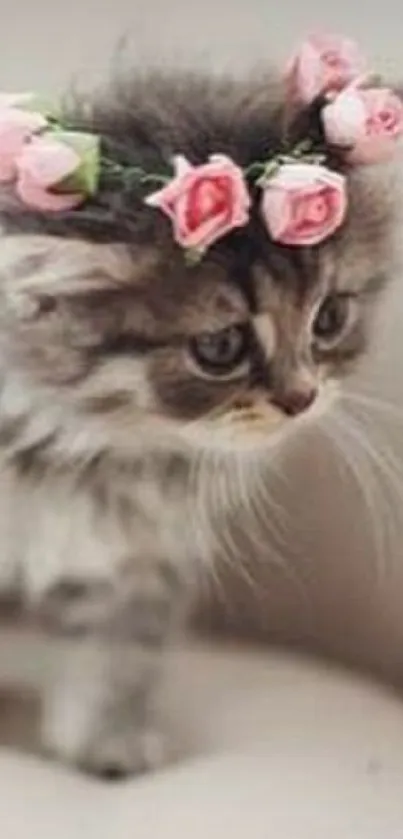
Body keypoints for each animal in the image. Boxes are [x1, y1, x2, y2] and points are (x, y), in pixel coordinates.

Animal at [0, 69, 400, 776]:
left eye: (329, 318)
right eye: (220, 347)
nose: (301, 398)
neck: (95, 444)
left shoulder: (139, 556)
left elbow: (120, 652)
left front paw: (109, 746)